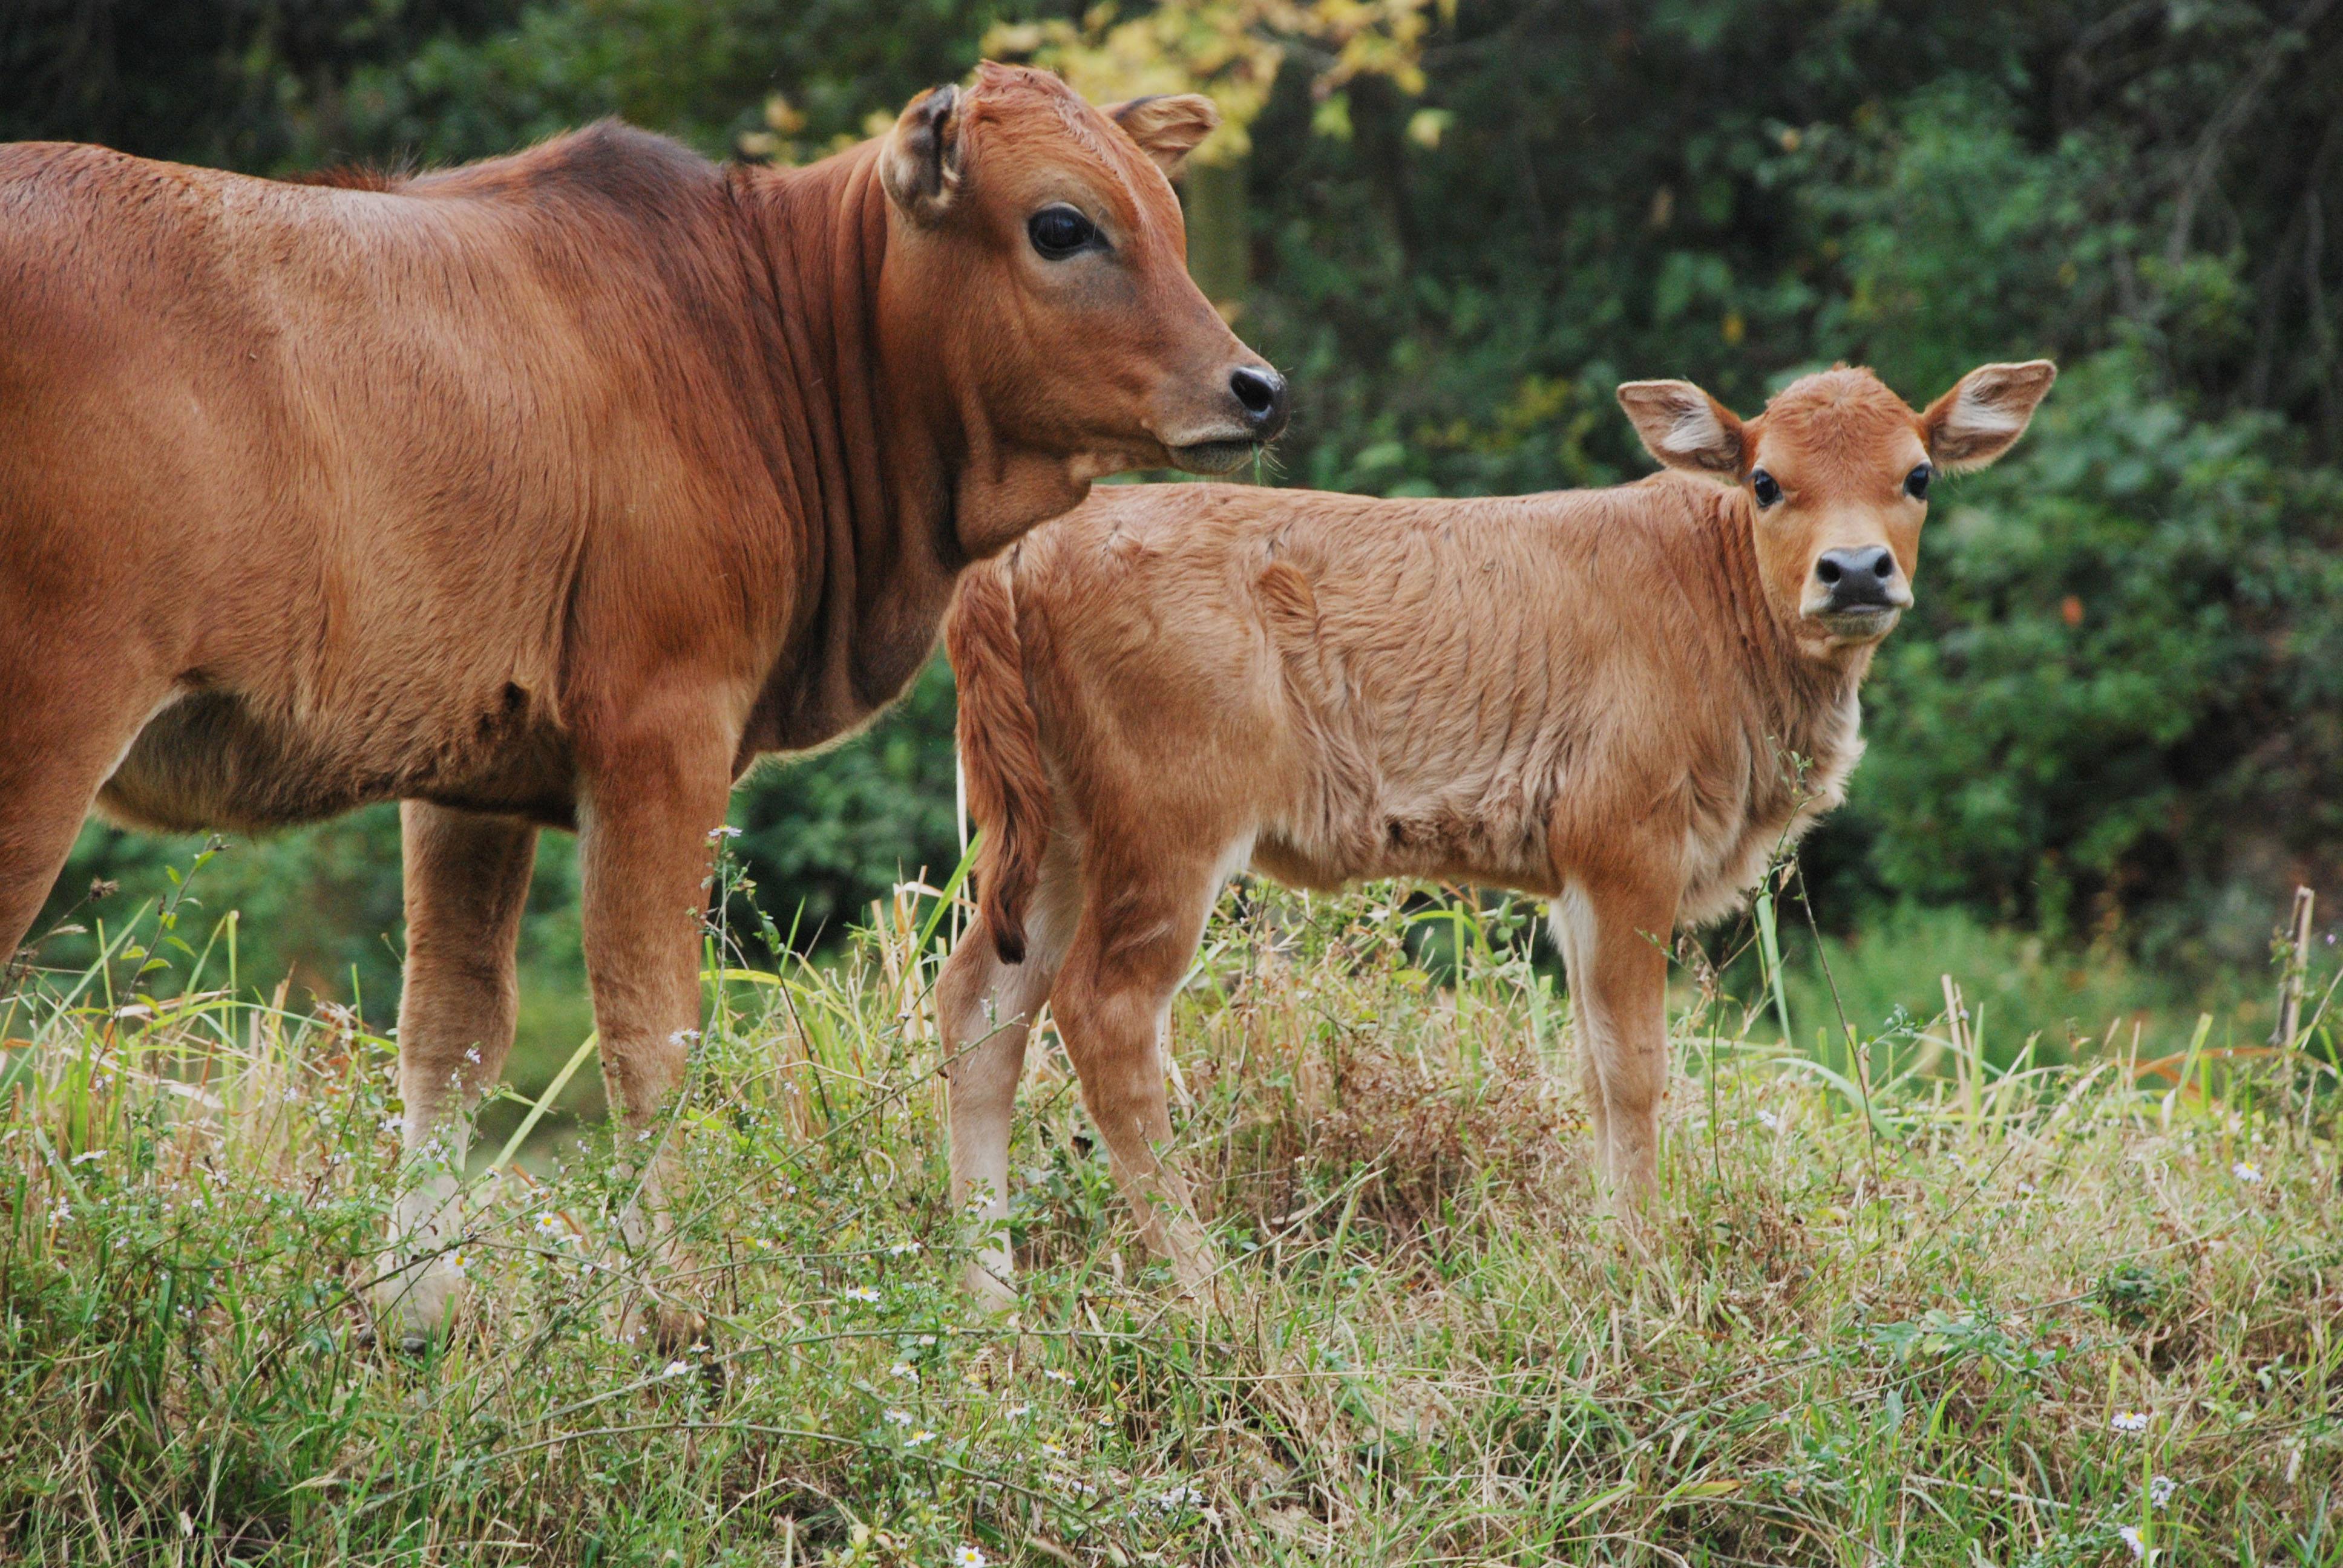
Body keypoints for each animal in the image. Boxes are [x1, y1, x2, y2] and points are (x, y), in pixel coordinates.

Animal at [0, 57, 1302, 1331]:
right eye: (1061, 225)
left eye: (1170, 215)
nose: (1257, 387)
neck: (757, 332)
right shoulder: (663, 727)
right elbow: (650, 1026)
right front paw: (665, 1309)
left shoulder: (467, 773)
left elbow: (453, 1033)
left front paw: (417, 1310)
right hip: (48, 731)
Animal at [932, 361, 2052, 1303]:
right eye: (1767, 481)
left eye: (1916, 473)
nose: (1855, 570)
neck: (1711, 589)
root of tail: (1030, 548)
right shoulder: (1626, 856)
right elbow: (1638, 1069)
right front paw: (1644, 1271)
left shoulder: (1578, 888)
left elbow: (1595, 1070)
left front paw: (1610, 1251)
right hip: (1167, 836)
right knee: (1106, 1014)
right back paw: (1214, 1295)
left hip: (1057, 841)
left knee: (981, 1008)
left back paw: (994, 1306)